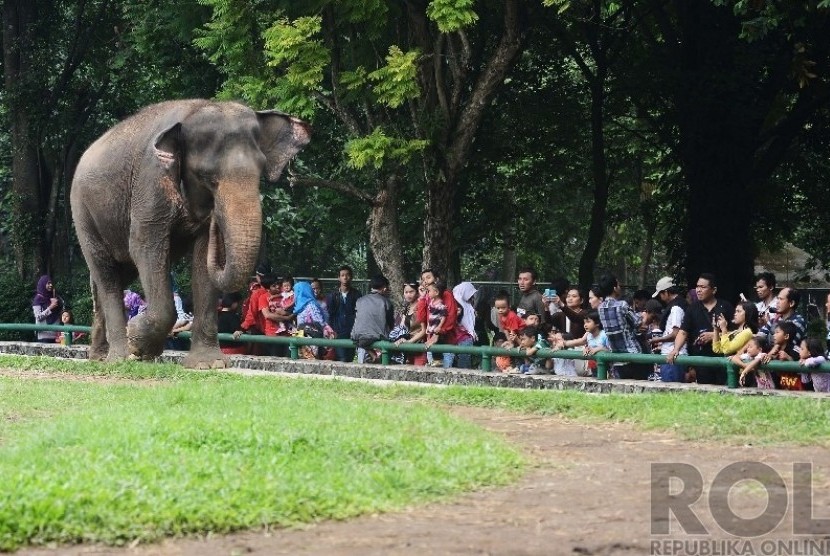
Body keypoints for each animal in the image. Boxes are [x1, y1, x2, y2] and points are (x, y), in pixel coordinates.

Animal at [70, 100, 312, 370]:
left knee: (115, 276)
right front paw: (138, 342)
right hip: (83, 214)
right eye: (207, 177)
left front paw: (208, 364)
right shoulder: (151, 181)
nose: (215, 217)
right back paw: (120, 358)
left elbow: (202, 258)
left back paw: (100, 356)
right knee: (107, 274)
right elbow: (144, 246)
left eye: (260, 171)